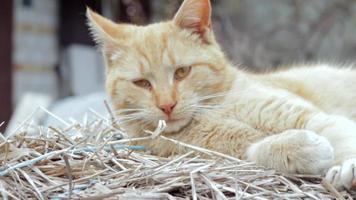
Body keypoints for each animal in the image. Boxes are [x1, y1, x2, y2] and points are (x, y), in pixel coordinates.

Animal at [86, 0, 356, 191]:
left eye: (182, 72)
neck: (213, 110)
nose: (167, 105)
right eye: (141, 83)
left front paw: (345, 169)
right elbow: (255, 150)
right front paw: (300, 147)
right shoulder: (219, 153)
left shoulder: (308, 116)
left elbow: (341, 134)